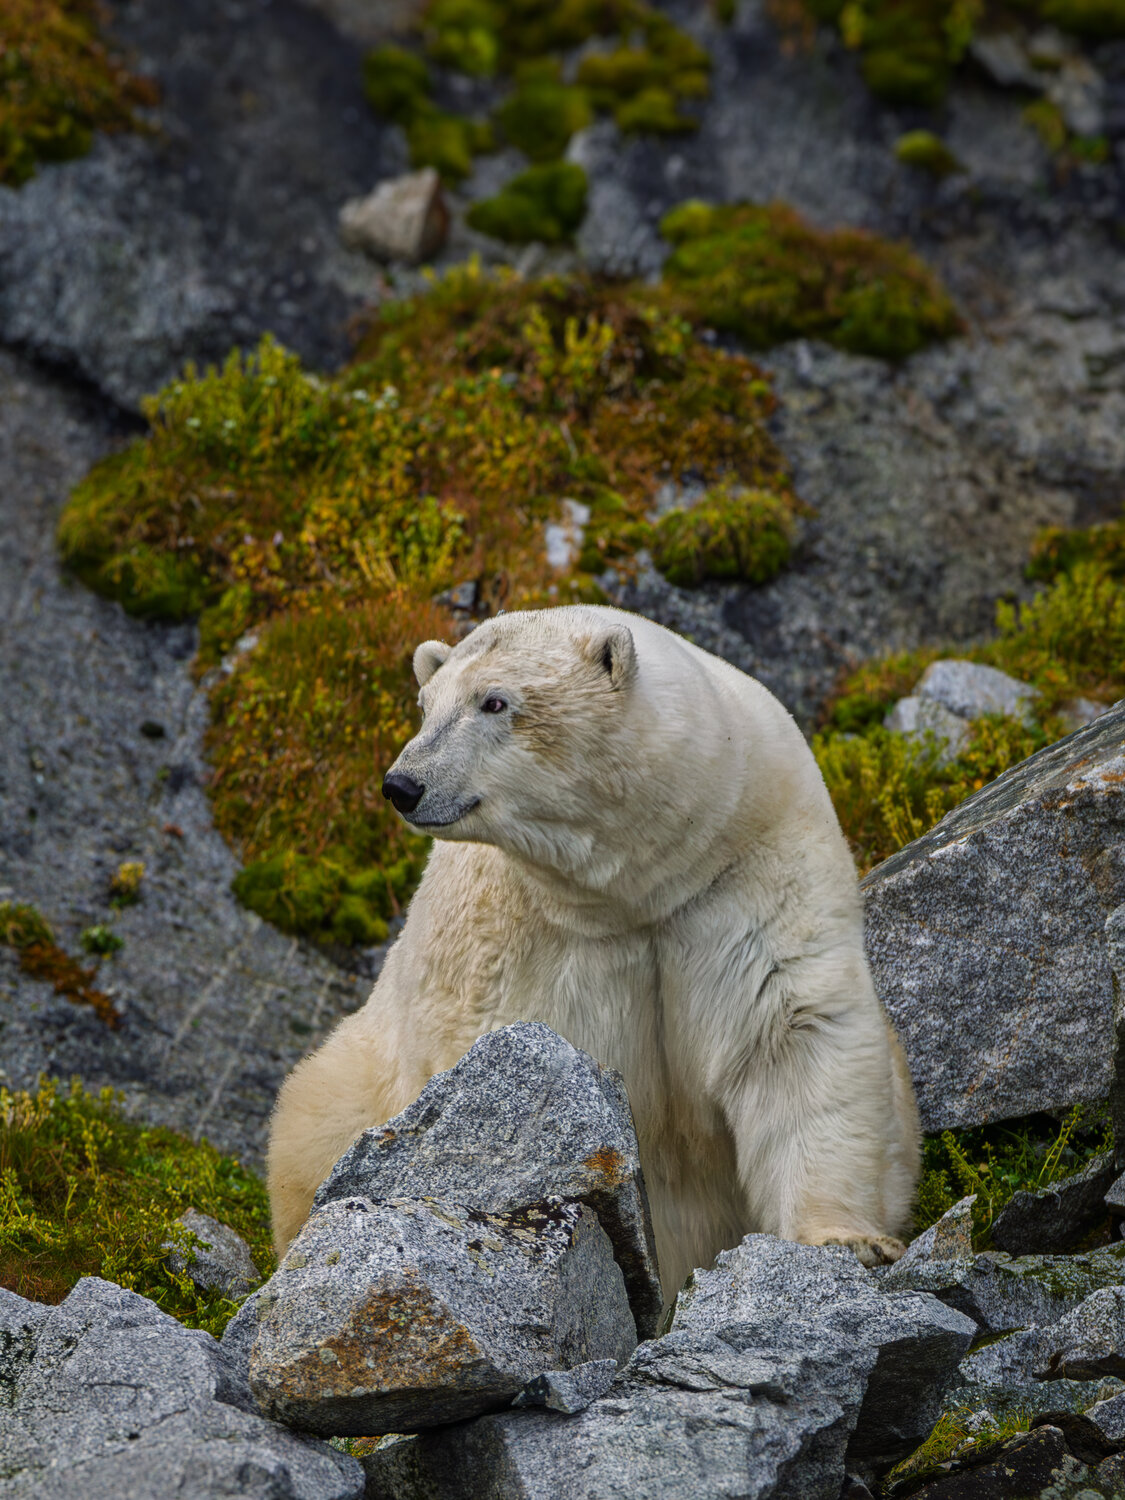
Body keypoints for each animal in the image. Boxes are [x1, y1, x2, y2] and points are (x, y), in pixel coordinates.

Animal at [267, 604, 920, 1298]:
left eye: (494, 701)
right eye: (425, 703)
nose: (403, 785)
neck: (637, 891)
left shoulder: (750, 875)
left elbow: (793, 1034)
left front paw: (847, 1241)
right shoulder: (519, 943)